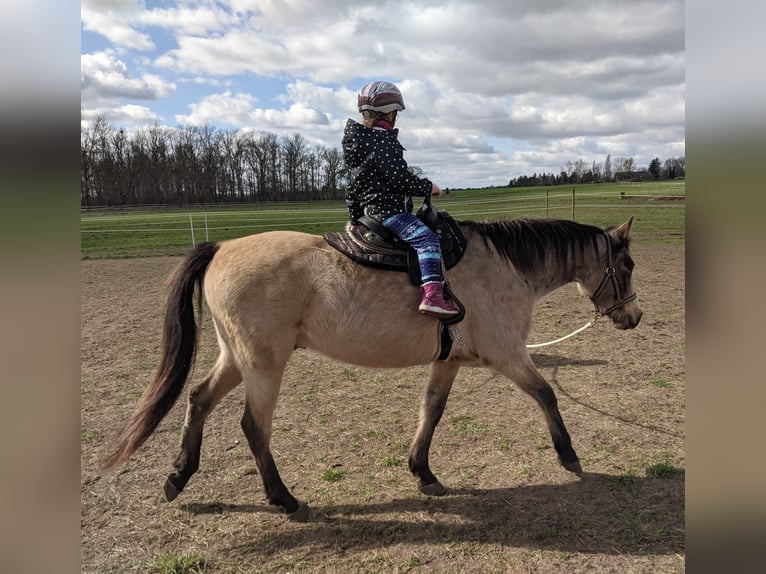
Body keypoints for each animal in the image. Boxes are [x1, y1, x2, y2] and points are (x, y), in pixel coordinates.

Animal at [102, 214, 640, 520]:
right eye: (628, 266)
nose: (633, 317)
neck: (506, 265)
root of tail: (221, 248)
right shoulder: (508, 354)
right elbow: (547, 394)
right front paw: (569, 457)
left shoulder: (450, 361)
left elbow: (432, 411)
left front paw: (423, 473)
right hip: (263, 365)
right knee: (254, 426)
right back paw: (284, 500)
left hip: (236, 358)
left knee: (198, 400)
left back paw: (178, 477)